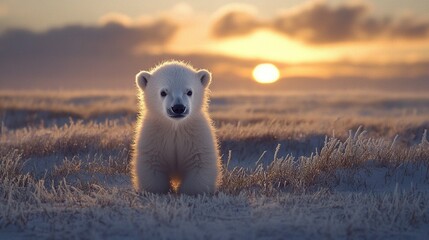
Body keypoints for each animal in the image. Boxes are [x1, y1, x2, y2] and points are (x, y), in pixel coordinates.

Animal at [132, 60, 222, 195]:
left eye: (189, 91)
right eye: (163, 92)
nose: (178, 108)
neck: (175, 127)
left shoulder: (196, 136)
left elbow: (200, 164)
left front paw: (190, 192)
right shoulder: (154, 137)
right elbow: (152, 165)